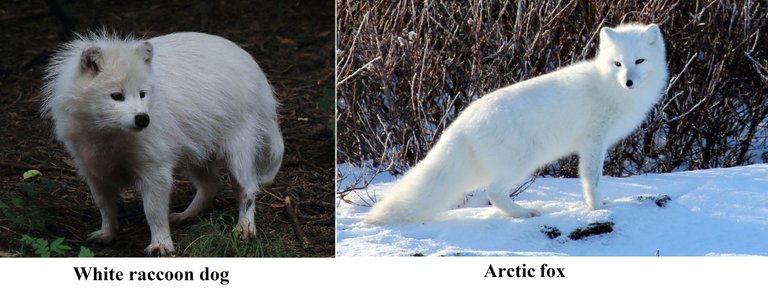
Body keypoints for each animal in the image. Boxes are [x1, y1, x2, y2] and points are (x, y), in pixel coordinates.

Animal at [42, 31, 284, 254]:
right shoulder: (93, 170)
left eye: (142, 94)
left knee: (247, 188)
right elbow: (104, 206)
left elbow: (154, 211)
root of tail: (253, 65)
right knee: (211, 184)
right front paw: (107, 233)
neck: (109, 134)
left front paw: (161, 244)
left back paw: (245, 228)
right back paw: (185, 216)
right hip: (195, 150)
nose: (143, 119)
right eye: (116, 96)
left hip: (237, 149)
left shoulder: (155, 170)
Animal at [366, 23, 664, 224]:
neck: (608, 86)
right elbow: (592, 178)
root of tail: (463, 120)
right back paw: (524, 213)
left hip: (480, 170)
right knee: (494, 193)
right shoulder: (593, 142)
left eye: (639, 61)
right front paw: (597, 208)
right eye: (617, 64)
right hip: (521, 163)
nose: (628, 82)